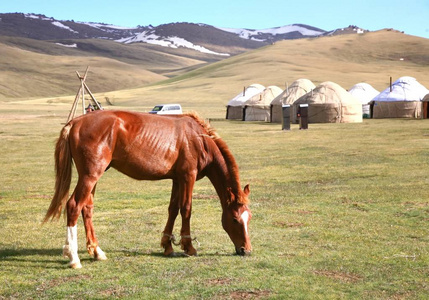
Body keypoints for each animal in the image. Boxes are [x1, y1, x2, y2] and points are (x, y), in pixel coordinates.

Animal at [42, 110, 251, 270]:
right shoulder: (187, 177)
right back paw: (74, 258)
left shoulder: (177, 179)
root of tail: (76, 122)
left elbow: (173, 209)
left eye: (249, 218)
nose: (246, 250)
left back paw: (96, 251)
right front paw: (188, 247)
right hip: (90, 175)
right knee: (74, 205)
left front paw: (168, 246)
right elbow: (186, 209)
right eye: (234, 219)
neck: (198, 139)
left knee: (87, 208)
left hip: (93, 177)